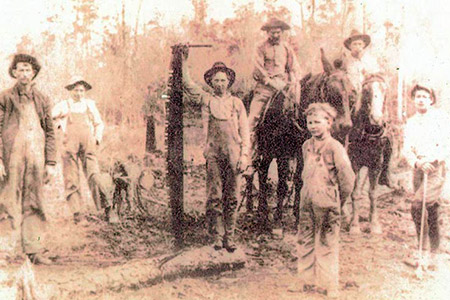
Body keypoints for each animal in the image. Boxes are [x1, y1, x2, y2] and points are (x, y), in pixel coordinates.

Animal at [346, 73, 392, 234]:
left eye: (385, 90)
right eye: (366, 91)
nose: (376, 119)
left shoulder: (376, 165)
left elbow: (372, 193)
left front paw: (374, 225)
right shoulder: (355, 164)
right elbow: (355, 193)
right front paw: (354, 226)